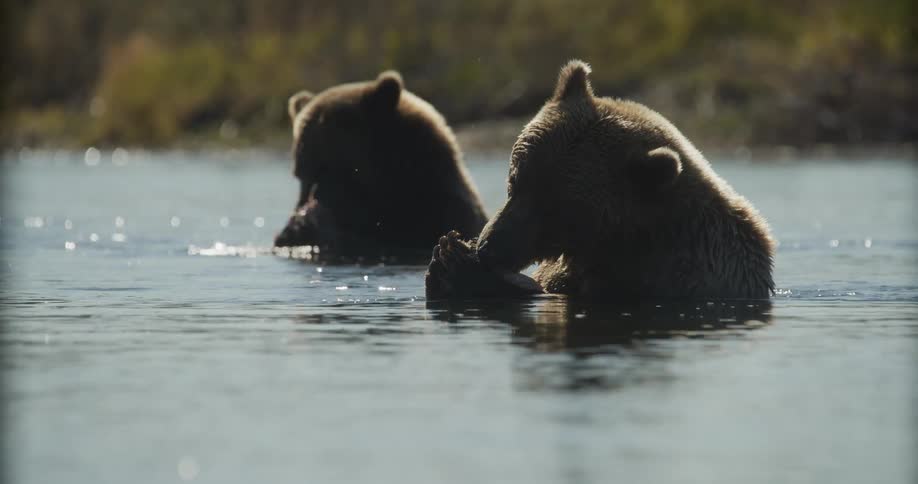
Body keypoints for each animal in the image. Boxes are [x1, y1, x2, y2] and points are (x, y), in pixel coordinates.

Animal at [426, 60, 775, 300]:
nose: (488, 247)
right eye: (515, 181)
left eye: (557, 209)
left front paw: (458, 266)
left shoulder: (671, 275)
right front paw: (448, 256)